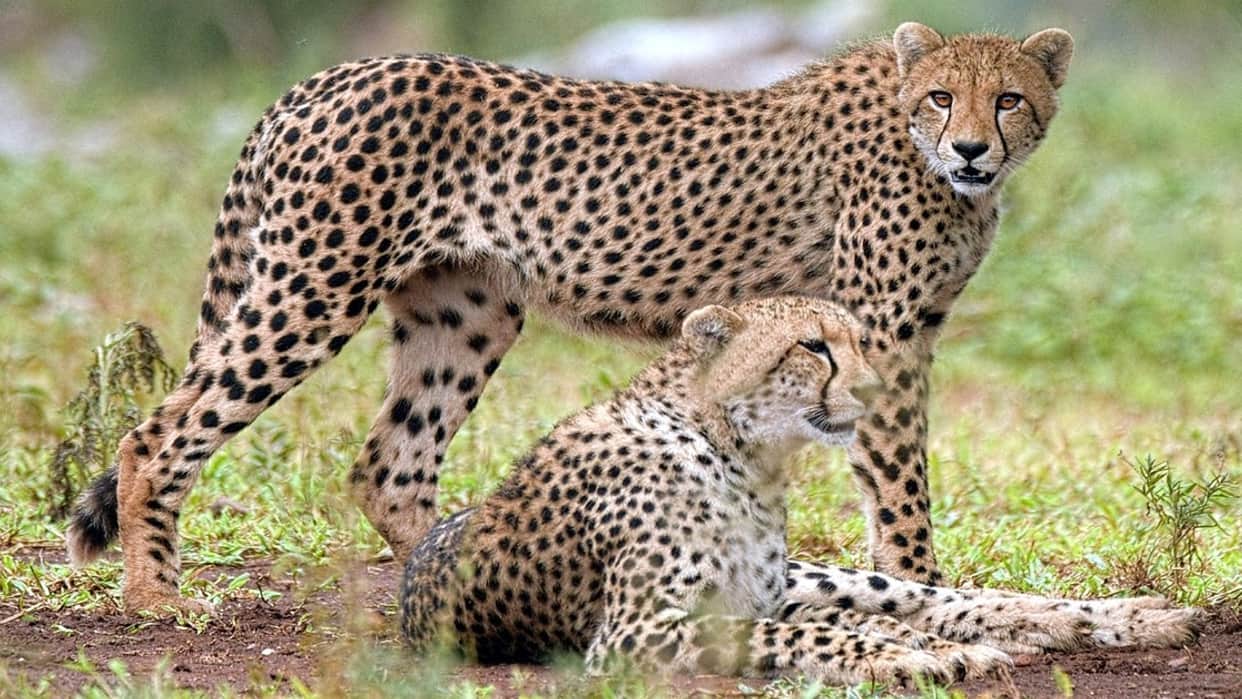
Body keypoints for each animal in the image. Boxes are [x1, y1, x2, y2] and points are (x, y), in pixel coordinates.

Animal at [68, 22, 1080, 614]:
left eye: (1009, 98)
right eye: (943, 95)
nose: (972, 148)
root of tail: (324, 77)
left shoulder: (902, 331)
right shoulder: (882, 331)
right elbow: (899, 479)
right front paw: (919, 581)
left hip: (466, 311)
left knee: (390, 465)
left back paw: (460, 575)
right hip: (313, 288)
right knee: (158, 433)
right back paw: (155, 597)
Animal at [398, 295, 1201, 686]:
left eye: (859, 341)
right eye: (812, 345)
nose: (875, 390)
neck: (741, 453)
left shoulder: (754, 591)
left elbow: (833, 621)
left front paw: (915, 650)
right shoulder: (638, 629)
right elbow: (799, 632)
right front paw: (911, 657)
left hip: (812, 573)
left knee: (933, 595)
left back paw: (1131, 617)